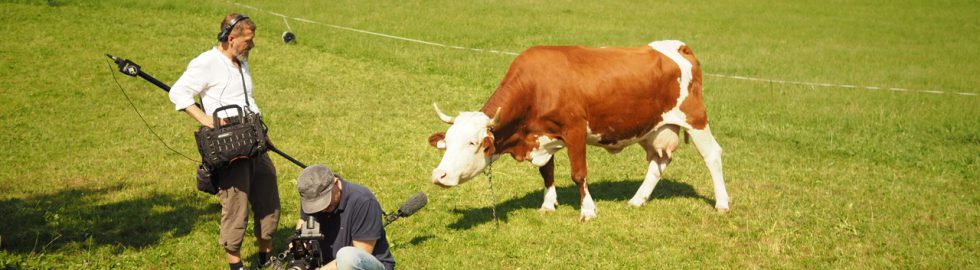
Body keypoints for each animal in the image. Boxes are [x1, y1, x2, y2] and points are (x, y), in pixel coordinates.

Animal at [428, 40, 728, 221]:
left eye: (472, 143)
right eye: (448, 142)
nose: (438, 175)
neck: (537, 87)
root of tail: (676, 46)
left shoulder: (574, 130)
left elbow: (578, 174)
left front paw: (588, 210)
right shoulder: (543, 135)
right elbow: (546, 171)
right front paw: (548, 204)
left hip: (695, 118)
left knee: (712, 155)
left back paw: (722, 203)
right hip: (651, 128)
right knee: (659, 161)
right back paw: (637, 200)